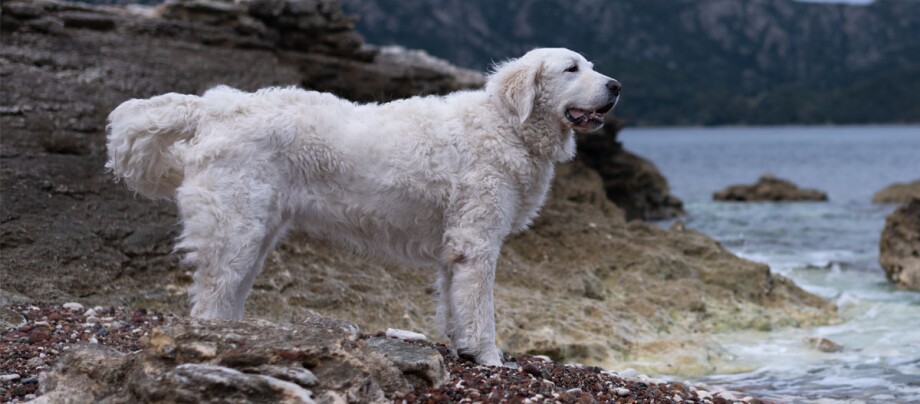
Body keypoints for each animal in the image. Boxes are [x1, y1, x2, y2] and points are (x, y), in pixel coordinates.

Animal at [108, 48, 620, 366]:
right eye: (571, 68)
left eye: (592, 66)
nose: (615, 85)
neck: (505, 125)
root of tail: (214, 106)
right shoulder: (477, 243)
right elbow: (481, 310)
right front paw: (490, 358)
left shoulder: (456, 248)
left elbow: (454, 306)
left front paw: (464, 350)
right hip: (234, 230)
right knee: (210, 301)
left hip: (254, 235)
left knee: (226, 295)